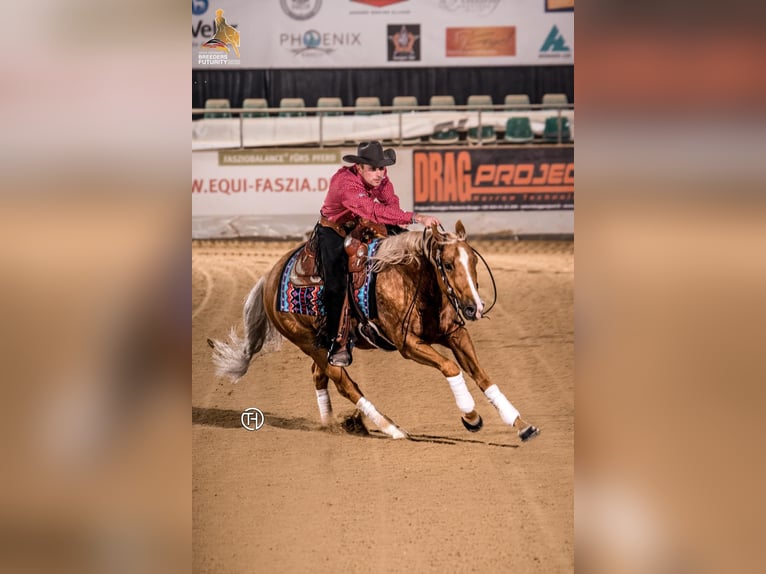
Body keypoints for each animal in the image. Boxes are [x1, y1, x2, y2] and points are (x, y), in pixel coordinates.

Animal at [208, 223, 540, 444]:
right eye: (447, 264)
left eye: (472, 261)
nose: (474, 308)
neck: (409, 278)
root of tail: (270, 276)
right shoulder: (408, 344)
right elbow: (450, 367)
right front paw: (471, 416)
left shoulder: (455, 335)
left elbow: (482, 376)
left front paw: (521, 424)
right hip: (308, 342)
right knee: (344, 383)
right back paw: (392, 429)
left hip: (327, 345)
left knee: (319, 375)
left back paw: (331, 424)